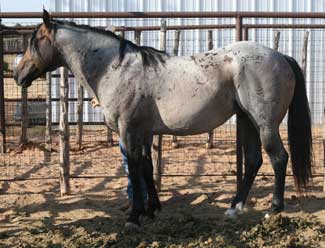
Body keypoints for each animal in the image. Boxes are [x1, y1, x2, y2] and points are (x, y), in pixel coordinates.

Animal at [13, 10, 312, 229]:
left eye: (34, 41)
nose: (18, 75)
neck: (116, 68)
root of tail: (280, 56)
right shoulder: (143, 132)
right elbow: (146, 167)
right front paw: (151, 209)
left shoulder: (129, 131)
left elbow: (134, 168)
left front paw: (134, 217)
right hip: (247, 120)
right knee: (253, 161)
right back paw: (234, 208)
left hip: (264, 123)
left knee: (278, 158)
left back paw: (274, 209)